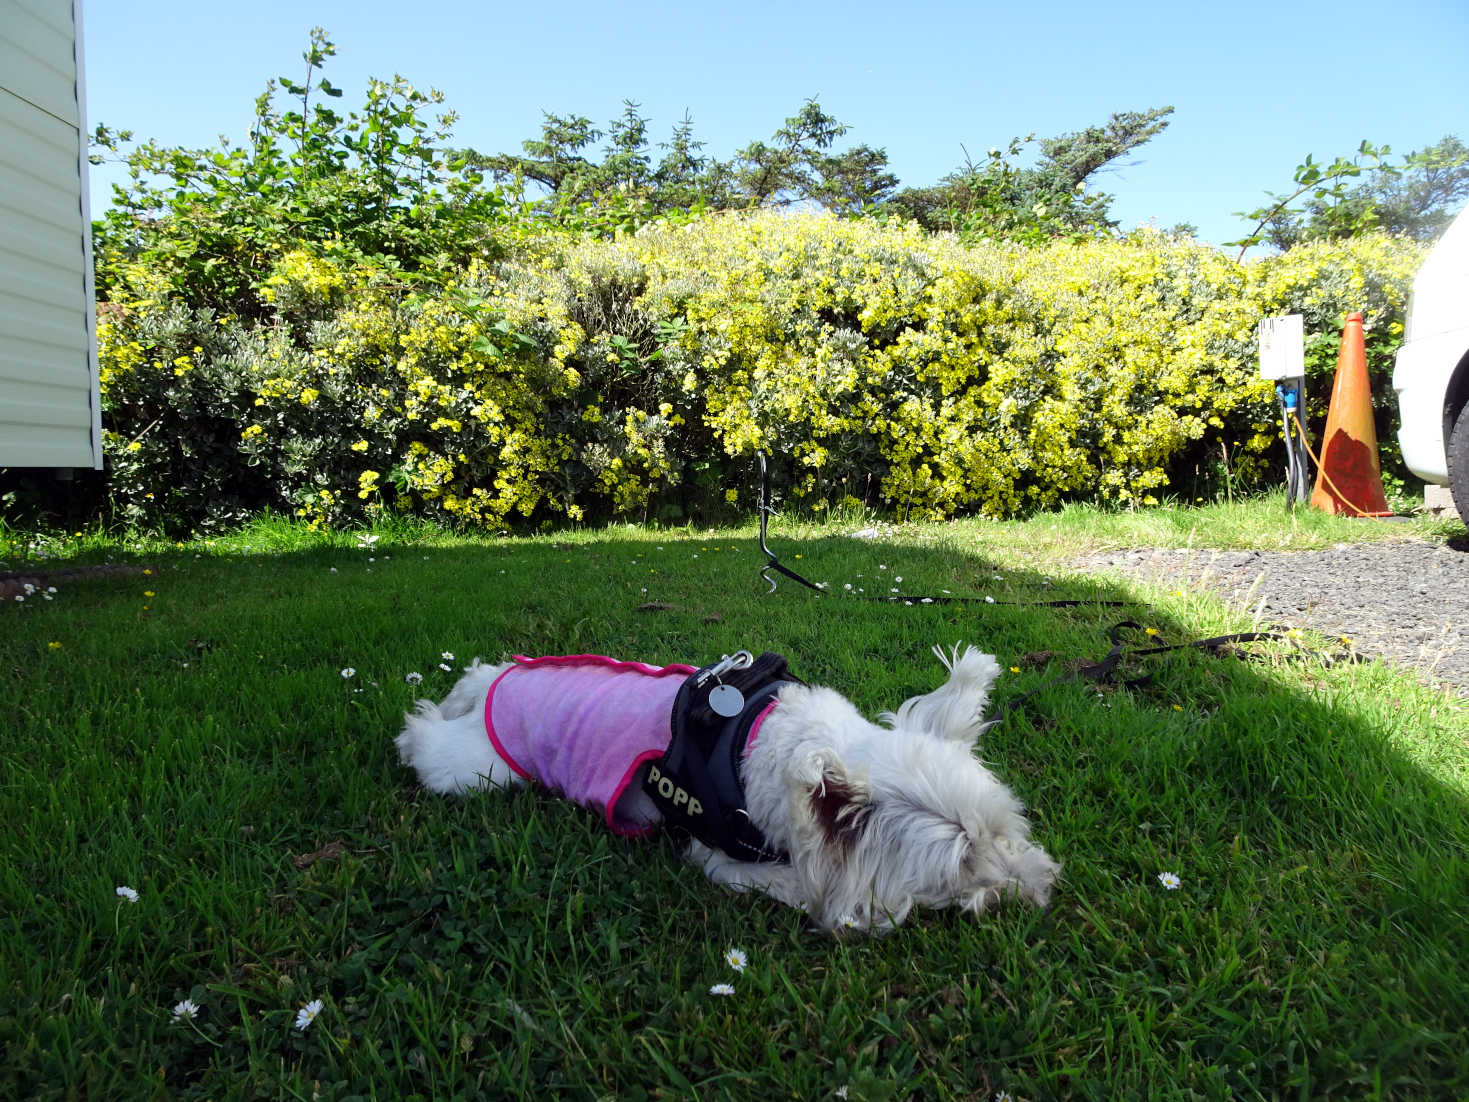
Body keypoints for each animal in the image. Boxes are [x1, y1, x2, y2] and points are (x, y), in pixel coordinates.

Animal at [390, 643, 1057, 934]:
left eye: (1005, 832)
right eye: (961, 863)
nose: (1044, 890)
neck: (768, 741)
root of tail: (494, 682)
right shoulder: (722, 859)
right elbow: (803, 886)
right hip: (476, 769)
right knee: (423, 742)